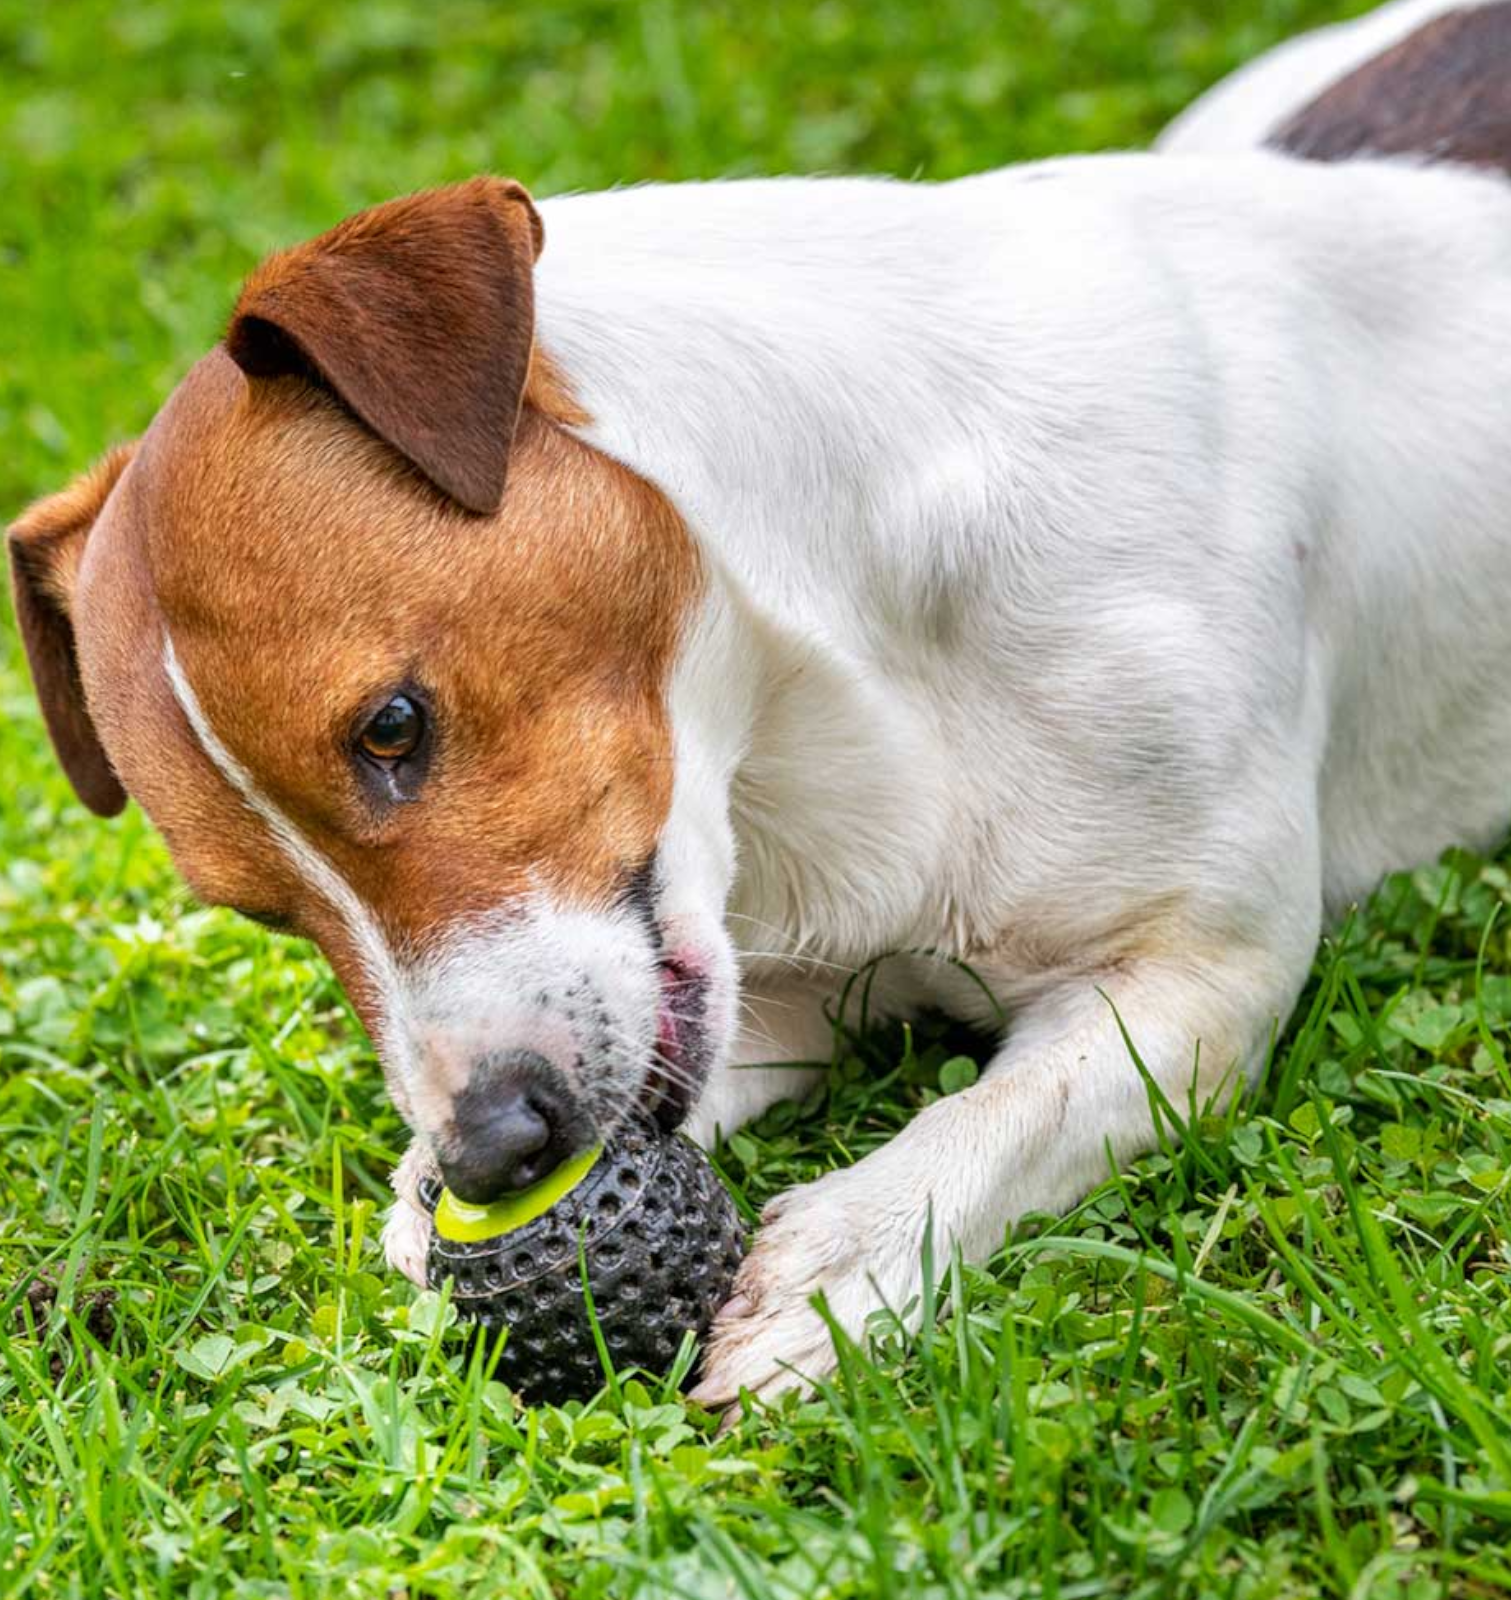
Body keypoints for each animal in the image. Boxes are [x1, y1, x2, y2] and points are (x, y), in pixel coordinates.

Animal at [9, 0, 1511, 1408]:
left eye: (392, 727)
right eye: (261, 907)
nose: (487, 1151)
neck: (830, 691)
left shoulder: (1201, 979)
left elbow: (1008, 1110)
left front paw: (854, 1248)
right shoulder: (769, 989)